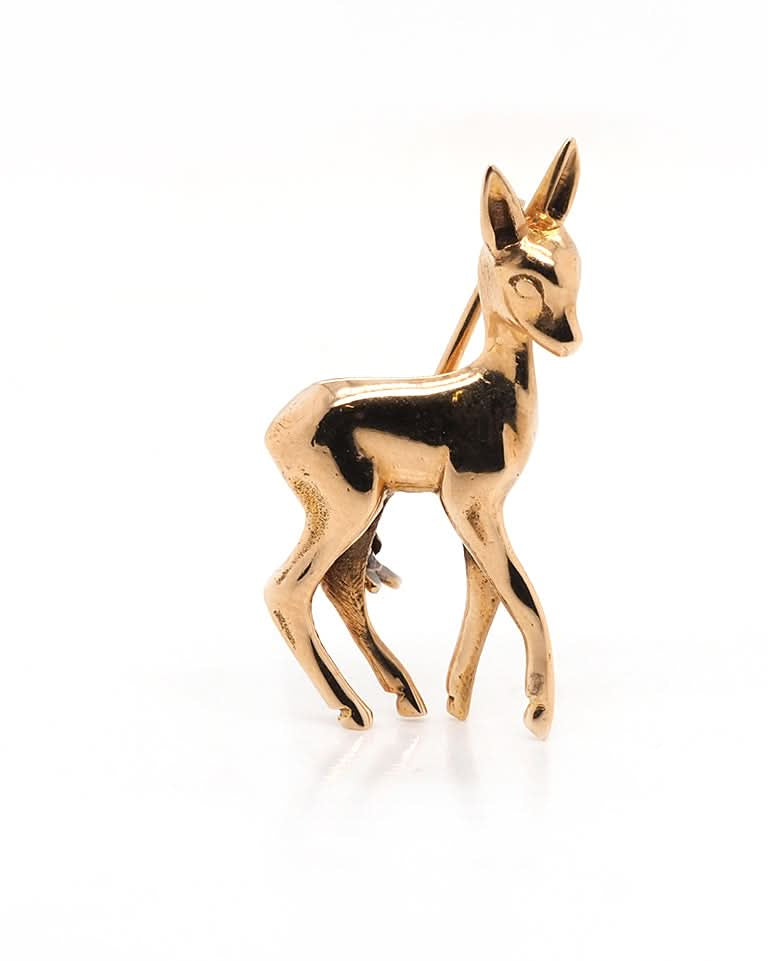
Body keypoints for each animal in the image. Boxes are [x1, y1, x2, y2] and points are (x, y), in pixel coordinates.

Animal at [265, 139, 581, 738]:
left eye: (576, 267)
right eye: (525, 280)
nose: (569, 340)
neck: (494, 387)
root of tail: (279, 426)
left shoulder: (479, 506)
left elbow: (486, 592)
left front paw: (458, 701)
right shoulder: (469, 501)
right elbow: (516, 589)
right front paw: (538, 712)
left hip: (365, 508)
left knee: (342, 585)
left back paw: (407, 696)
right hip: (345, 508)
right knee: (288, 589)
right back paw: (355, 710)